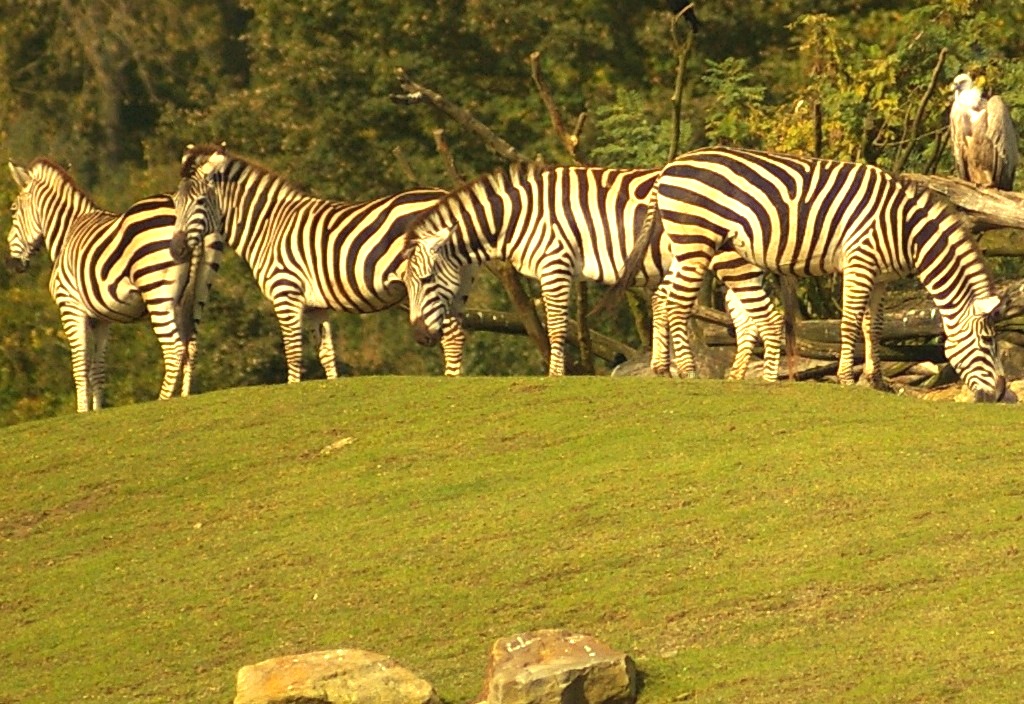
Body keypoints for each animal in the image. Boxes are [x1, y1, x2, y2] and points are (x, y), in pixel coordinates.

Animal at [4, 158, 217, 413]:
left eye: (13, 210)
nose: (12, 264)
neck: (68, 232)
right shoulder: (102, 318)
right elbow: (98, 368)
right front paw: (97, 412)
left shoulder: (70, 307)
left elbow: (80, 365)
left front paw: (82, 412)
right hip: (196, 294)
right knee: (191, 346)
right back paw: (184, 398)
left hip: (157, 292)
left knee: (174, 348)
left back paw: (162, 401)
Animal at [171, 143, 468, 382]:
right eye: (175, 202)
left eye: (200, 201)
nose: (176, 249)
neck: (269, 227)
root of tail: (446, 195)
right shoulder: (316, 306)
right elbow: (326, 354)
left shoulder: (286, 293)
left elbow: (293, 352)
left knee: (452, 336)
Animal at [401, 161, 782, 378]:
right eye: (405, 284)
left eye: (426, 279)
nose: (418, 336)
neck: (517, 217)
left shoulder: (554, 263)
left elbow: (556, 325)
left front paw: (555, 374)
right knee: (746, 316)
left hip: (727, 257)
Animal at [606, 147, 1007, 401]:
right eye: (988, 341)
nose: (1002, 392)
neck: (903, 228)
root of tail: (670, 166)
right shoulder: (858, 262)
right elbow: (849, 323)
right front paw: (847, 378)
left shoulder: (879, 277)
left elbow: (873, 327)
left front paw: (877, 380)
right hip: (696, 241)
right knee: (676, 305)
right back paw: (687, 372)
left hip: (685, 244)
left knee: (664, 299)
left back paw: (664, 369)